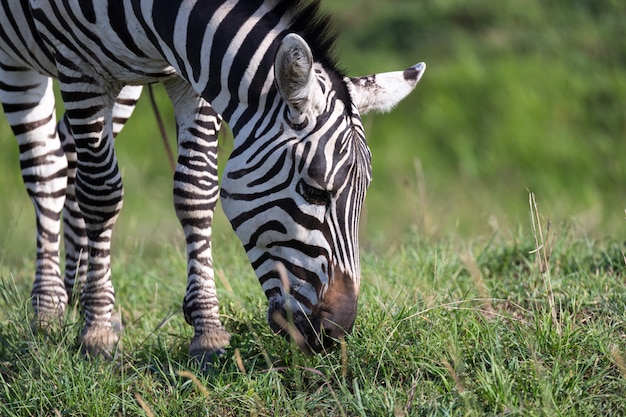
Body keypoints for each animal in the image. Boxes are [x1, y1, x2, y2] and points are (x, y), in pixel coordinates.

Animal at [2, 0, 424, 358]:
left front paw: (207, 331)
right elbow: (102, 194)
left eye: (364, 196)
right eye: (313, 190)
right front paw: (98, 332)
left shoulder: (194, 74)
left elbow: (195, 190)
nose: (337, 333)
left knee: (69, 156)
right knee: (47, 169)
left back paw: (74, 292)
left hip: (124, 83)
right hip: (19, 58)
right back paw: (48, 307)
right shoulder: (80, 68)